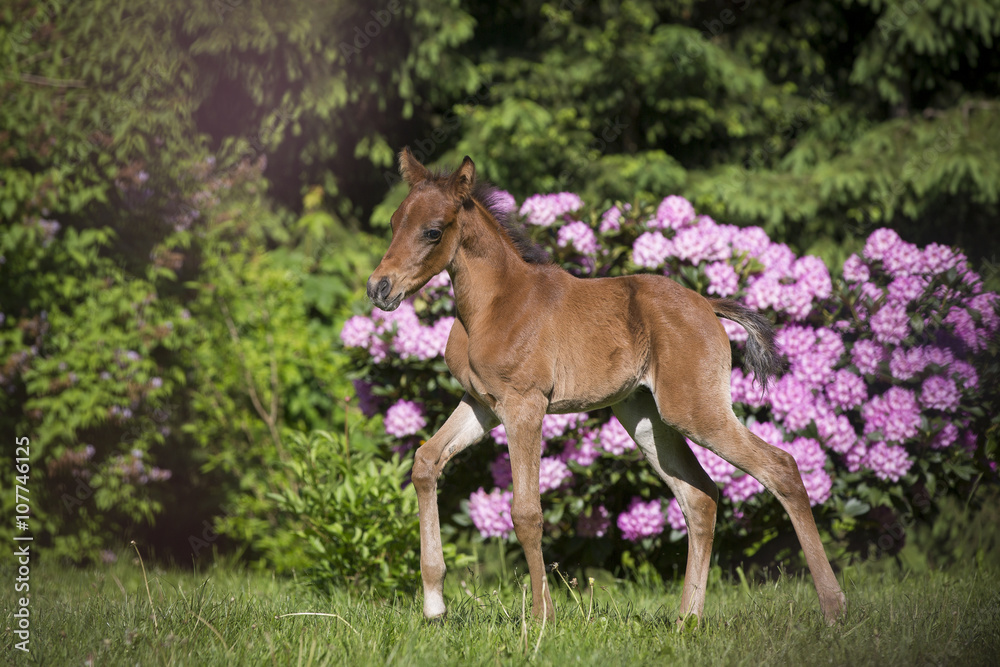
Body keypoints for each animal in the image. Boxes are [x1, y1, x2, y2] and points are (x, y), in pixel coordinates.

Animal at [364, 147, 848, 628]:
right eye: (393, 221)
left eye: (432, 231)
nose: (378, 288)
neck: (492, 305)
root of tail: (706, 304)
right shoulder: (482, 404)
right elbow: (425, 461)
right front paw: (433, 604)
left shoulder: (524, 406)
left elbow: (526, 512)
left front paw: (542, 617)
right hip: (646, 416)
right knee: (700, 496)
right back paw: (686, 620)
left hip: (695, 410)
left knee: (780, 467)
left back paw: (833, 607)